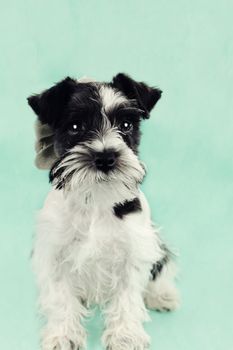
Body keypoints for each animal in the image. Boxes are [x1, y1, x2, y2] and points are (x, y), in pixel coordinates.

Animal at [27, 74, 180, 350]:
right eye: (75, 126)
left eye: (126, 125)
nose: (106, 157)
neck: (96, 199)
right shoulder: (55, 253)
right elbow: (61, 298)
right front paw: (63, 335)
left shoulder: (133, 251)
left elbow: (127, 299)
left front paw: (125, 337)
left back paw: (162, 295)